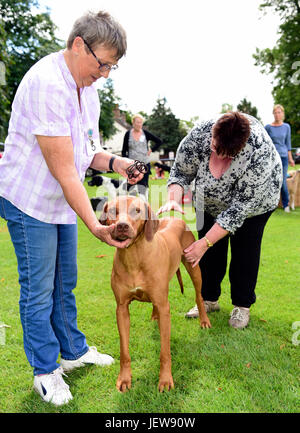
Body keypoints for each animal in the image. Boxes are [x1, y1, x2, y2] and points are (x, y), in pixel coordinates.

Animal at [99, 196, 210, 392]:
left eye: (137, 211)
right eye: (112, 211)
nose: (122, 226)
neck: (133, 256)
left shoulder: (165, 309)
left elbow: (165, 351)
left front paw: (165, 380)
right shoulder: (121, 308)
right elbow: (124, 351)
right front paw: (124, 379)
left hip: (194, 266)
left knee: (198, 295)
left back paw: (203, 320)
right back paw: (154, 315)